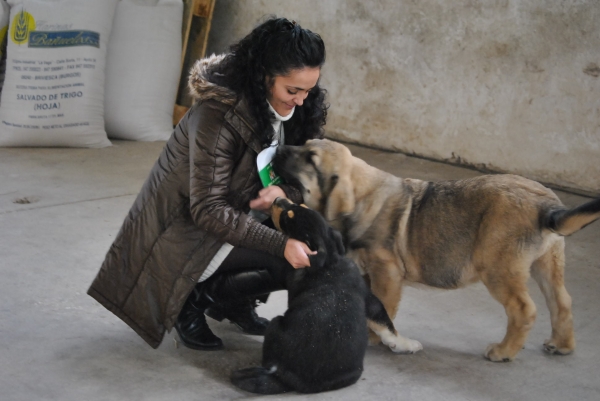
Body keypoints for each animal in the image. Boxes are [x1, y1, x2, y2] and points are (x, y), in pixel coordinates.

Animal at [232, 198, 406, 392]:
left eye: (289, 217)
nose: (277, 198)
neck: (329, 261)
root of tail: (292, 380)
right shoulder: (369, 298)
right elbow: (384, 320)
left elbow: (385, 323)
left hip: (275, 323)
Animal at [274, 138, 600, 362]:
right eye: (304, 145)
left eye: (310, 159)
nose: (278, 148)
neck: (362, 198)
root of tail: (548, 206)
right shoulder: (368, 272)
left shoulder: (386, 272)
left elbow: (384, 308)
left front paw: (376, 338)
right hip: (548, 262)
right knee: (561, 302)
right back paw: (562, 344)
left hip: (499, 269)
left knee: (524, 309)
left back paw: (503, 351)